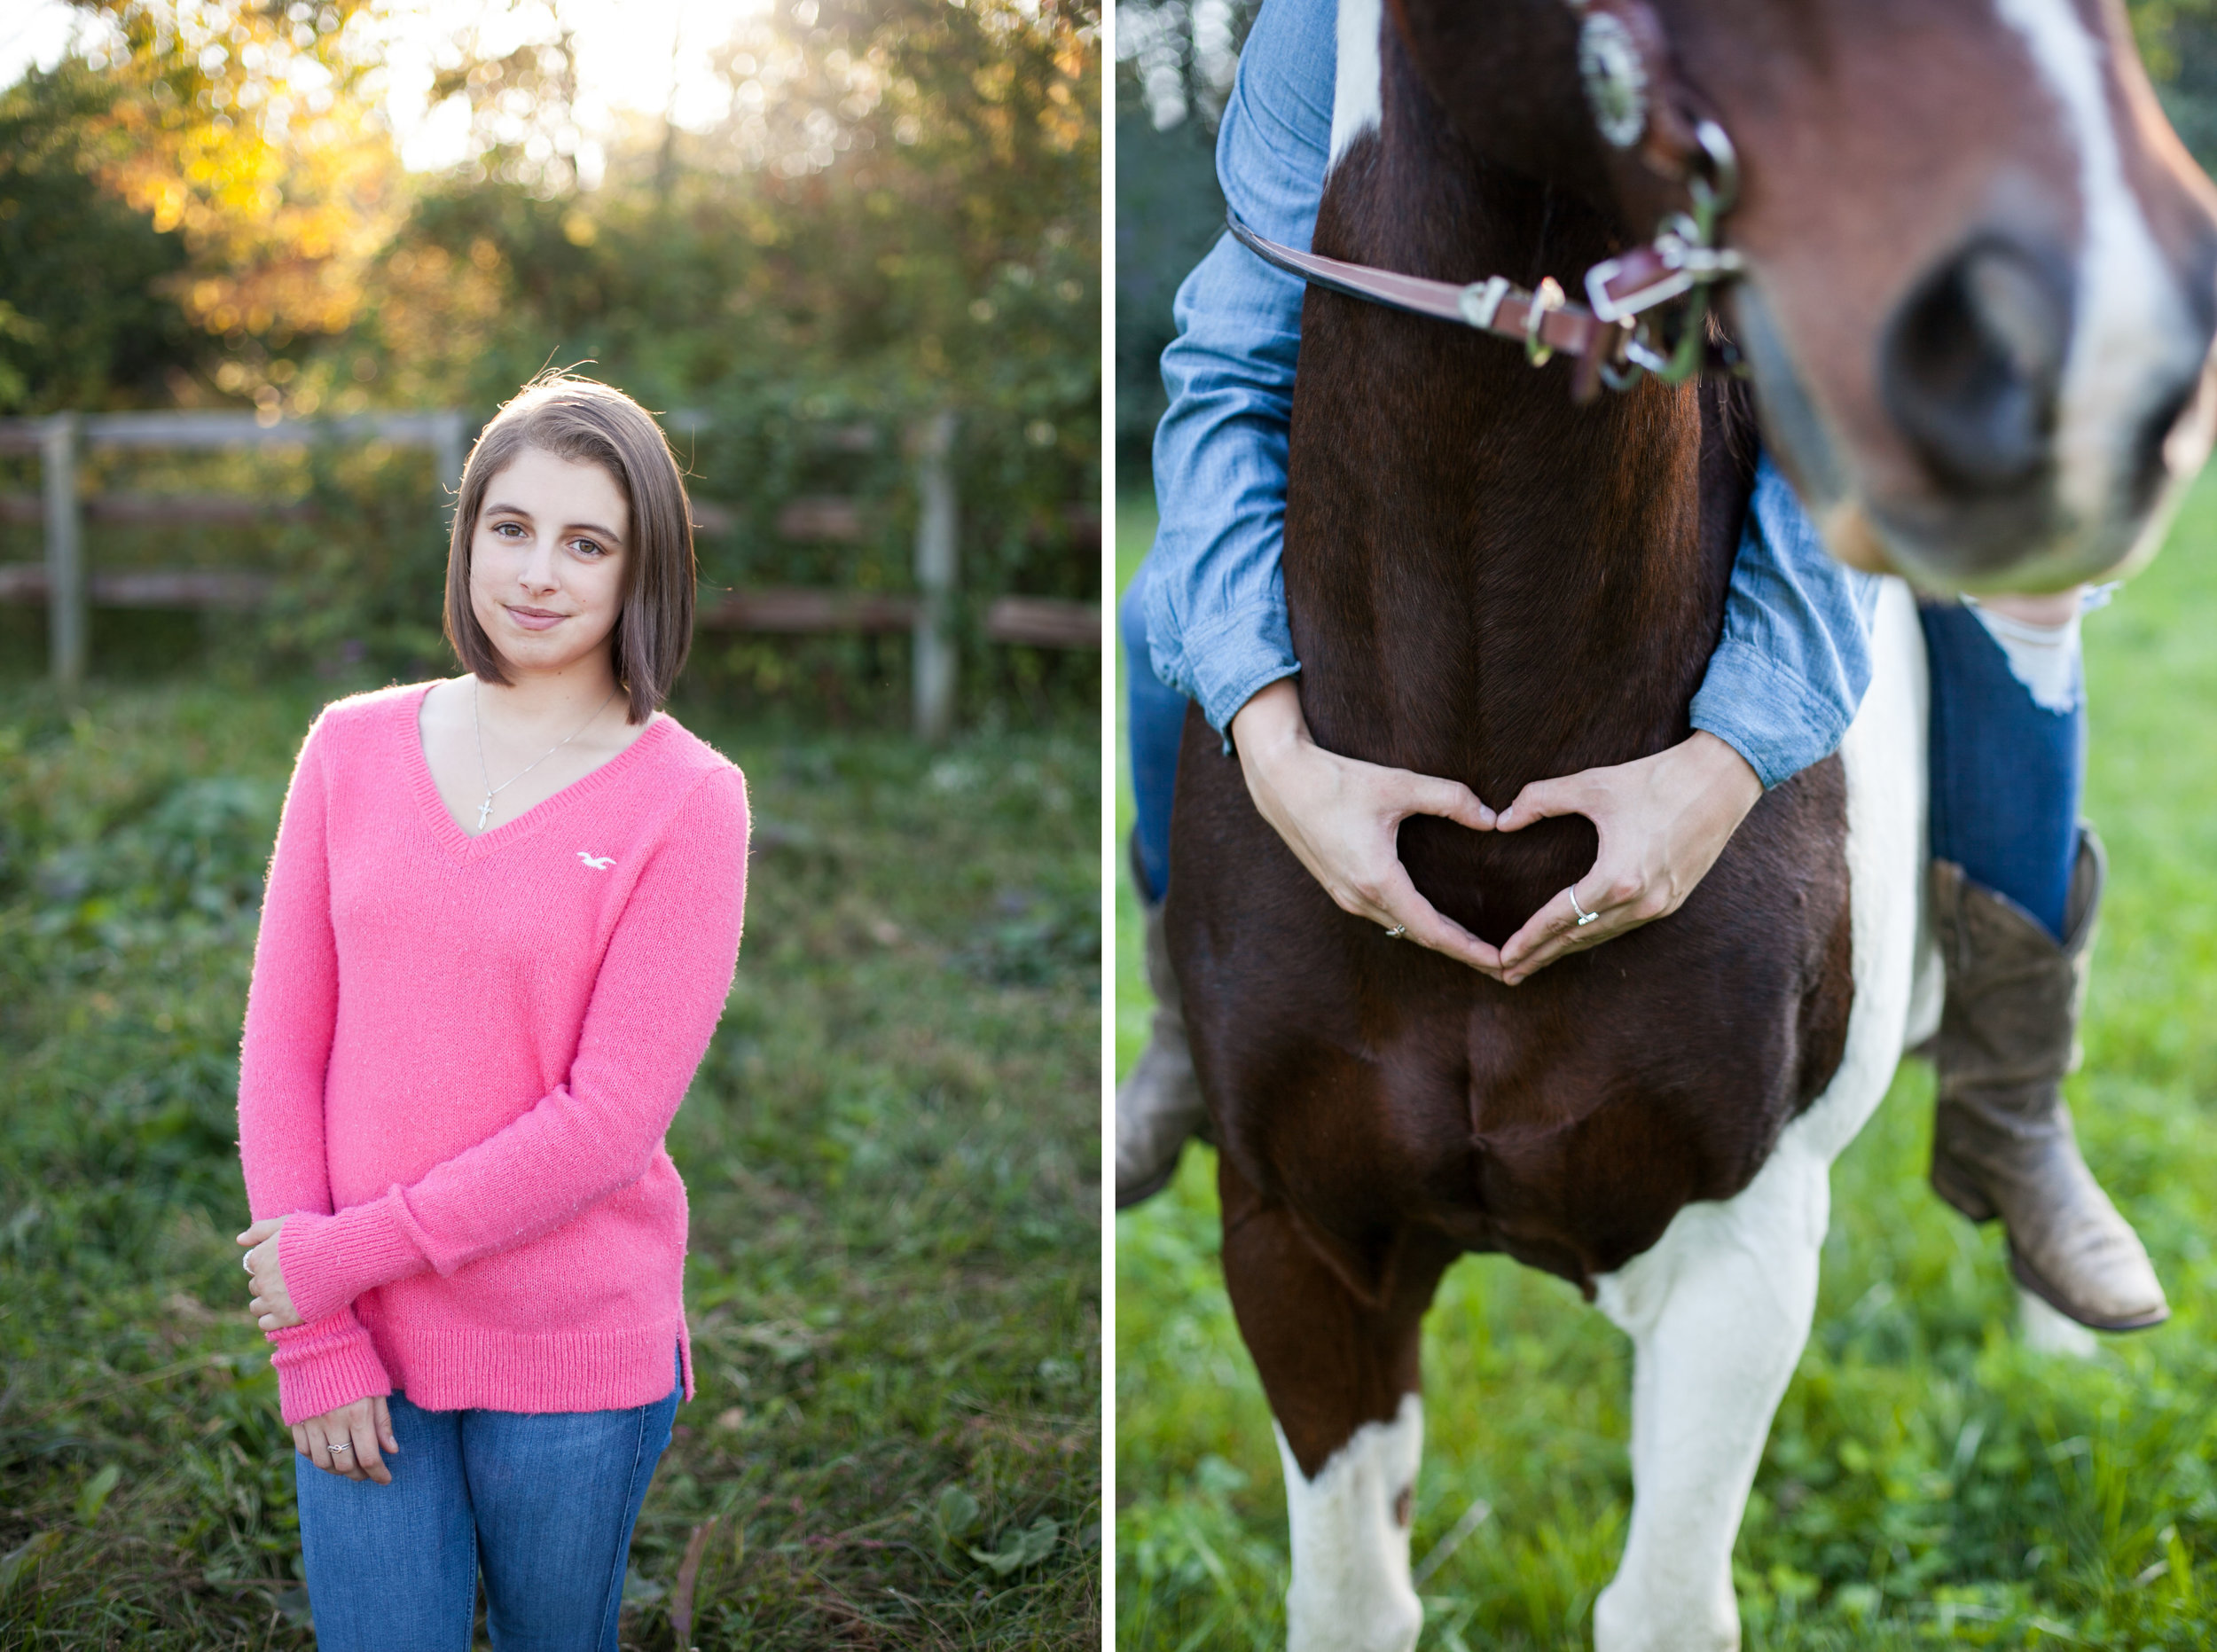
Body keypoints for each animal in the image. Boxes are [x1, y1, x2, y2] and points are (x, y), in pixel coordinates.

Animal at [1162, 3, 2217, 1649]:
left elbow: (1662, 1604)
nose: (2109, 342)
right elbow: (1350, 1603)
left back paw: (2062, 1297)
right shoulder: (1298, 1237)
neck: (1491, 784)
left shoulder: (1740, 1249)